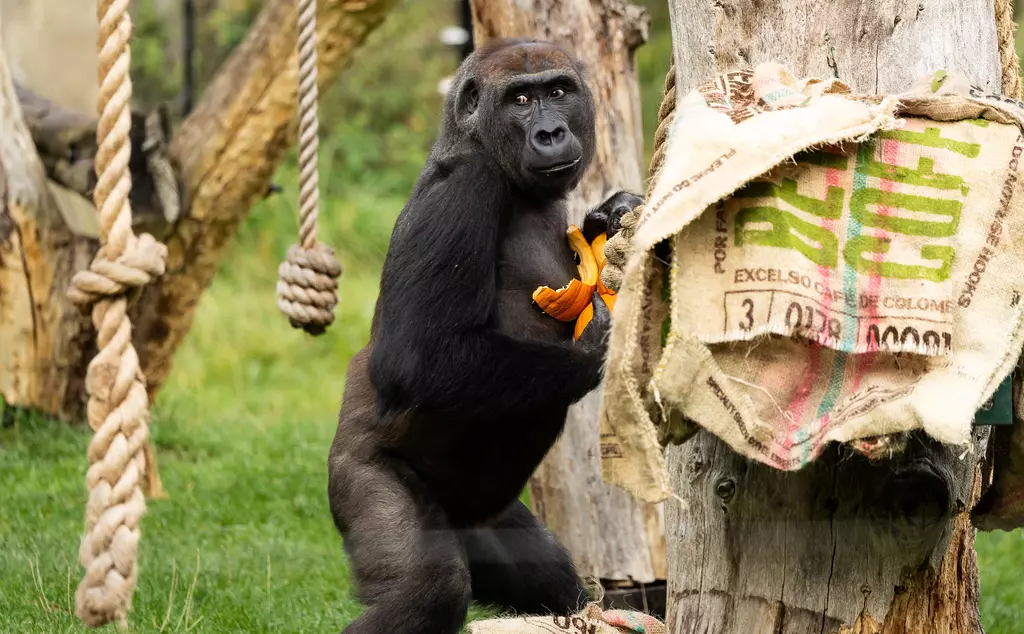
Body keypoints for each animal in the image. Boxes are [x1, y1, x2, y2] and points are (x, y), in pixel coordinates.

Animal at [327, 38, 643, 634]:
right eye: (520, 99)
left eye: (558, 91)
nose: (550, 132)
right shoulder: (464, 188)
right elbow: (416, 359)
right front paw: (599, 349)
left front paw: (614, 214)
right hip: (356, 474)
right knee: (430, 587)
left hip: (483, 522)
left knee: (550, 576)